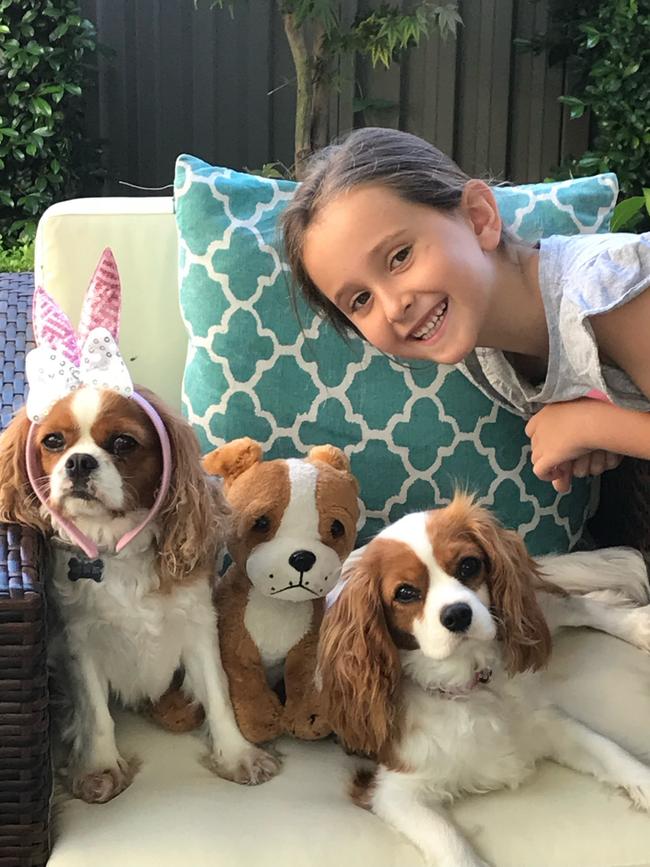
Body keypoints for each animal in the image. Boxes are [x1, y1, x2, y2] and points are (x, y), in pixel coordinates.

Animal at [0, 253, 278, 808]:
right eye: (54, 442)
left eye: (123, 444)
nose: (79, 462)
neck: (116, 550)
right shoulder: (80, 644)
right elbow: (97, 714)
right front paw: (100, 767)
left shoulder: (198, 627)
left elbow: (219, 695)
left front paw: (237, 755)